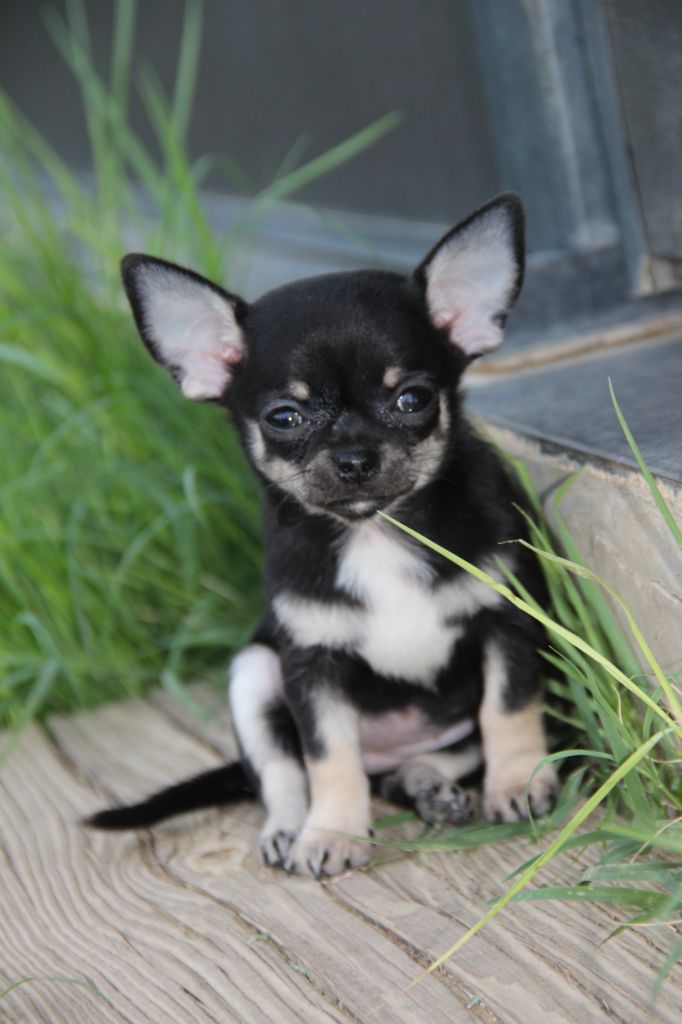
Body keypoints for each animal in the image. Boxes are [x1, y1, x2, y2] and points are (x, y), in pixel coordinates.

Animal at [87, 193, 559, 878]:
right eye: (285, 418)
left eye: (413, 399)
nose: (354, 456)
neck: (376, 533)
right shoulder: (313, 668)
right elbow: (328, 758)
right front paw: (332, 832)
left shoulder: (508, 624)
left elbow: (508, 710)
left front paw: (519, 781)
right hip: (254, 673)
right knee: (284, 775)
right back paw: (293, 828)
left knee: (435, 757)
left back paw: (429, 783)